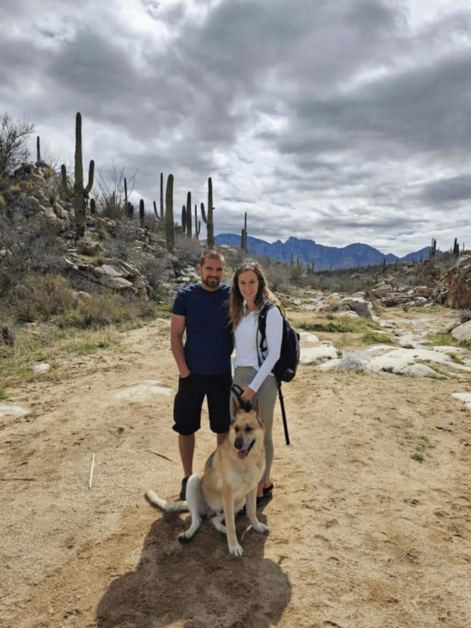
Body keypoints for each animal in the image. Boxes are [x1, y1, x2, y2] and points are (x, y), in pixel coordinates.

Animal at [144, 400, 270, 556]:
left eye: (249, 429)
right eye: (236, 429)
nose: (237, 445)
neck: (247, 461)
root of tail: (208, 510)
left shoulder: (251, 490)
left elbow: (251, 512)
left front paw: (256, 526)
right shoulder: (228, 494)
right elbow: (232, 525)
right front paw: (233, 545)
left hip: (239, 502)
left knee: (215, 520)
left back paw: (222, 529)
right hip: (194, 481)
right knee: (197, 520)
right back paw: (188, 534)